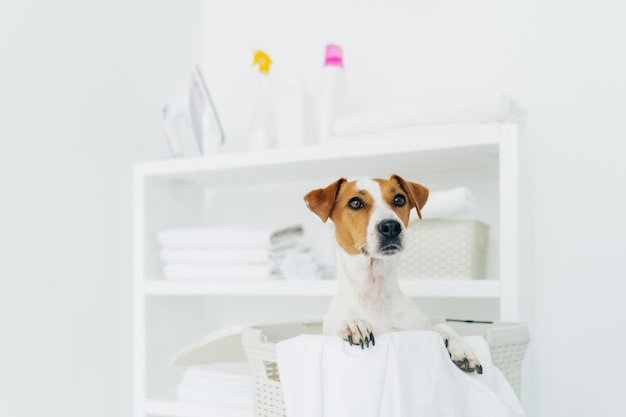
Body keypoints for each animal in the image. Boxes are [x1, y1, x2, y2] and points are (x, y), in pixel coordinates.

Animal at [304, 174, 480, 372]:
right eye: (355, 202)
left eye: (399, 199)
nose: (391, 226)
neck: (375, 290)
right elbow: (342, 325)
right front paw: (354, 324)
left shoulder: (418, 329)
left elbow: (440, 326)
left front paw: (459, 345)